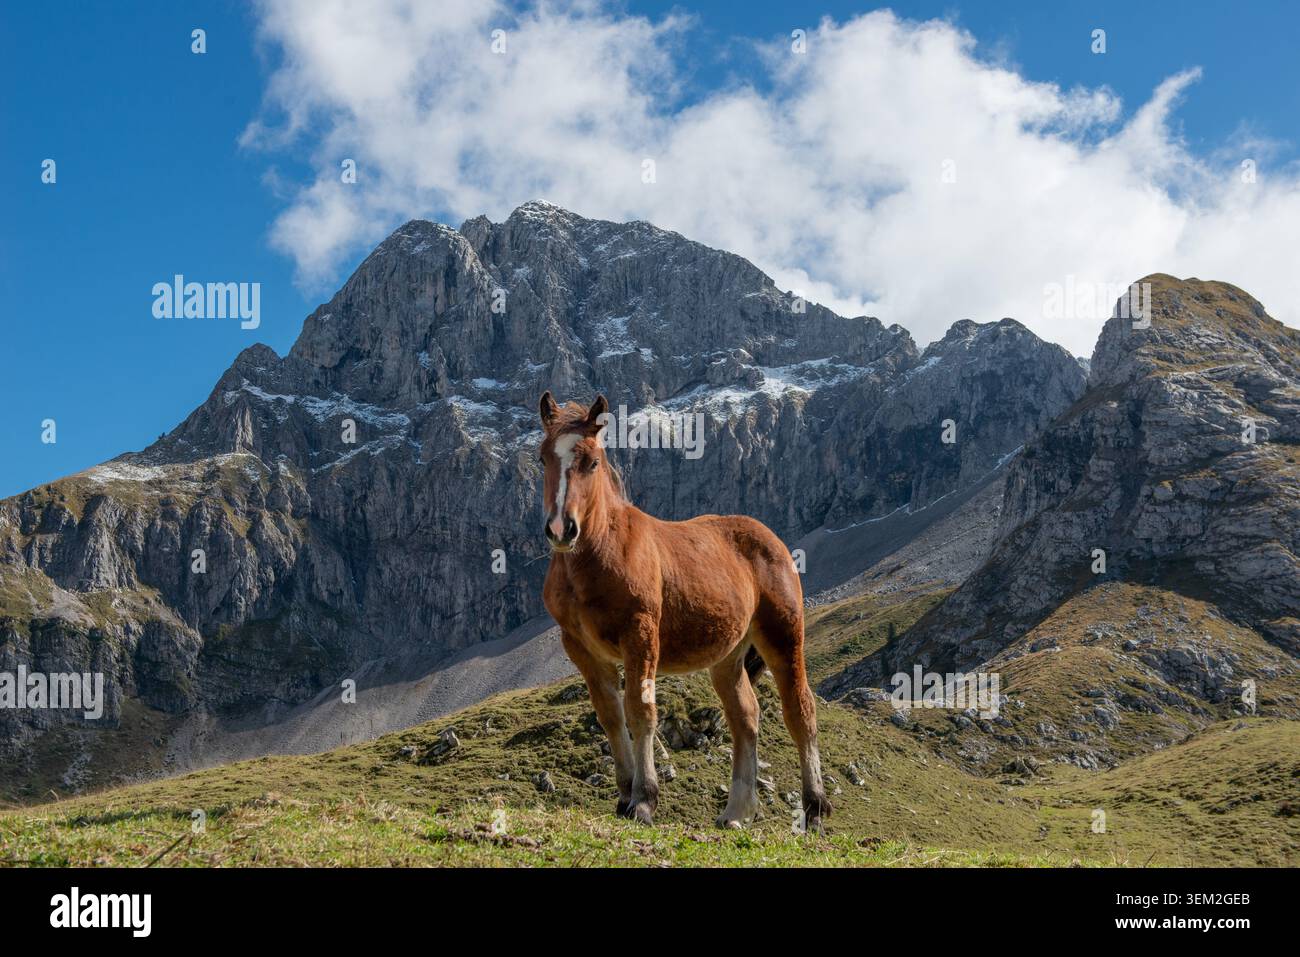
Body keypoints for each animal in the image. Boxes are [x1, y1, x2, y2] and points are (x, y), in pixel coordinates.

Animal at [537, 391, 831, 831]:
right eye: (543, 458)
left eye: (592, 462)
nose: (561, 529)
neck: (599, 554)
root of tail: (772, 540)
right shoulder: (581, 647)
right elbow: (610, 716)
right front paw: (624, 796)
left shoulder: (640, 634)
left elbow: (640, 711)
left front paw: (644, 800)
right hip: (728, 657)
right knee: (745, 716)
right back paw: (736, 811)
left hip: (782, 635)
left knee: (800, 711)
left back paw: (814, 807)